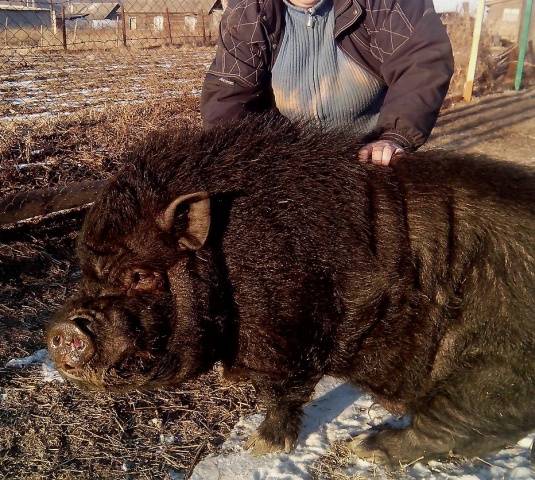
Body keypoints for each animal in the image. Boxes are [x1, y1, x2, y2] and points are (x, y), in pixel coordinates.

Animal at [47, 117, 535, 464]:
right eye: (86, 270)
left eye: (141, 276)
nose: (62, 332)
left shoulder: (291, 333)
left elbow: (284, 390)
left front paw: (261, 448)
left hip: (495, 360)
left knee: (459, 418)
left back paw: (366, 449)